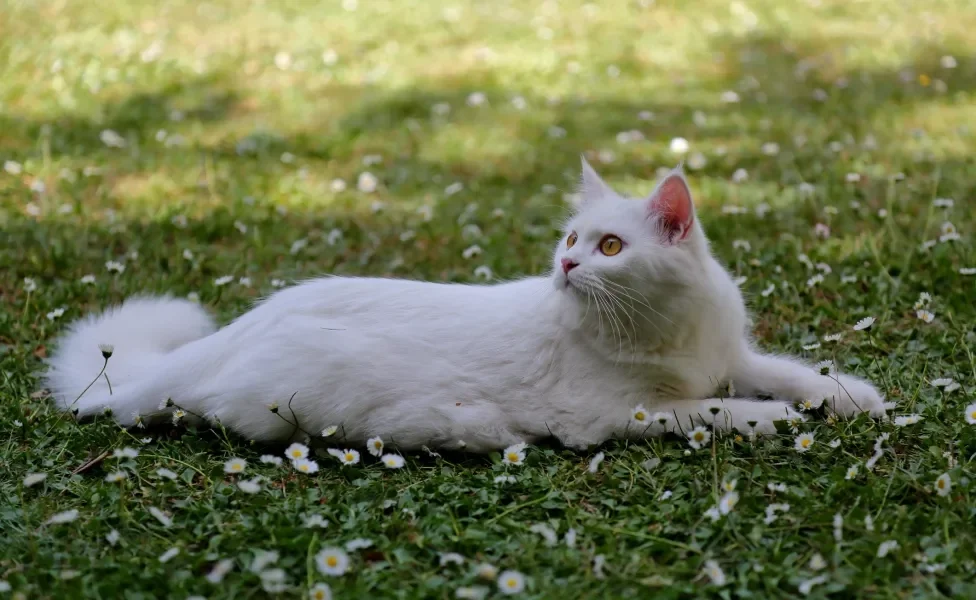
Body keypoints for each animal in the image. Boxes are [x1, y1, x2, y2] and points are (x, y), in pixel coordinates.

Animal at [43, 159, 884, 450]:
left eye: (609, 246)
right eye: (572, 239)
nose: (567, 265)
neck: (666, 329)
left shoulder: (731, 354)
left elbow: (788, 372)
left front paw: (849, 397)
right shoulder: (614, 414)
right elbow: (712, 408)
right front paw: (771, 419)